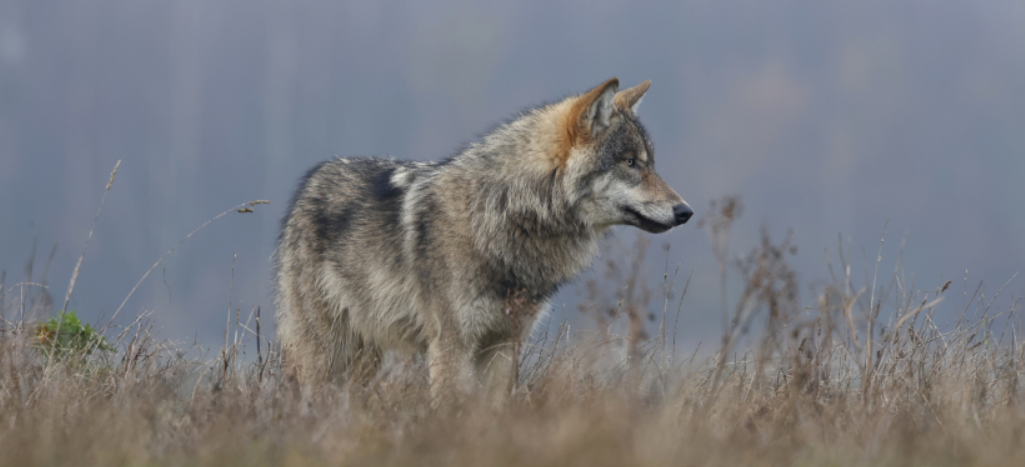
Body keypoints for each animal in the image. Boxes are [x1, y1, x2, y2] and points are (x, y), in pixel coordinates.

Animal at [274, 78, 692, 401]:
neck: (506, 213)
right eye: (630, 163)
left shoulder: (505, 345)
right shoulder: (452, 345)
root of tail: (314, 178)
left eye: (649, 163)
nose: (685, 211)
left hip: (364, 357)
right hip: (326, 353)